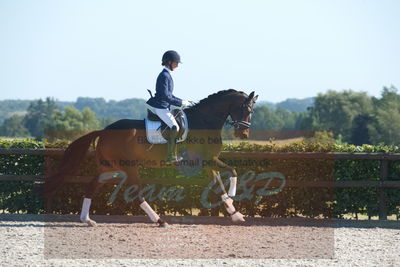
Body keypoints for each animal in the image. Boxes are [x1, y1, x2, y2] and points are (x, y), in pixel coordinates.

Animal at [43, 90, 256, 228]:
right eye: (246, 110)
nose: (243, 134)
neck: (203, 122)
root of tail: (104, 131)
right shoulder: (206, 162)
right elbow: (223, 180)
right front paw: (234, 206)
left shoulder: (210, 161)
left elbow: (227, 177)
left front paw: (234, 209)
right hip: (128, 167)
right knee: (137, 193)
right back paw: (160, 221)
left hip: (109, 168)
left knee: (92, 185)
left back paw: (86, 219)